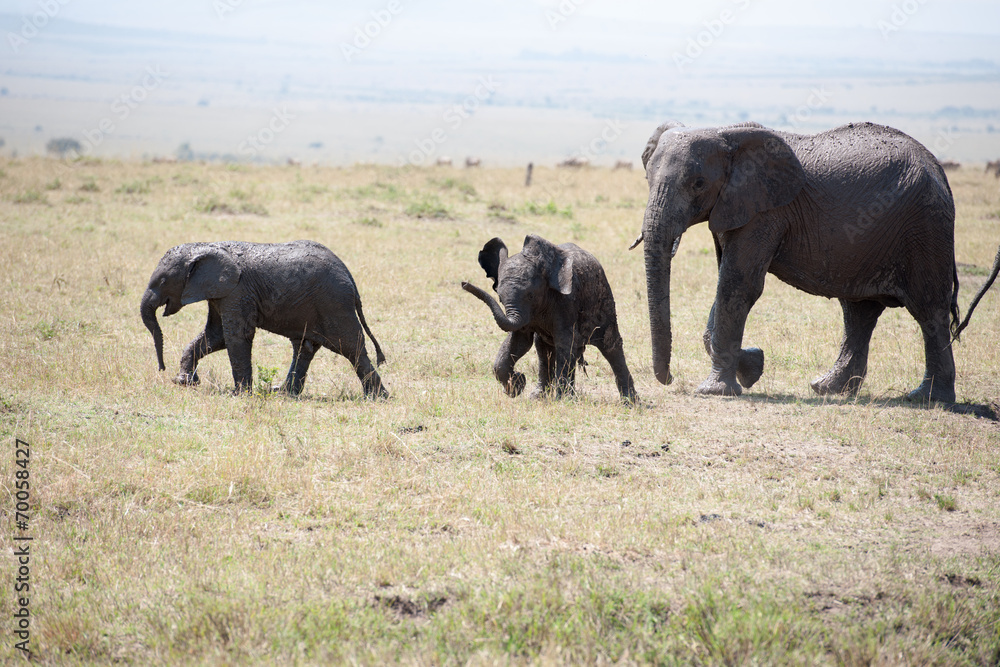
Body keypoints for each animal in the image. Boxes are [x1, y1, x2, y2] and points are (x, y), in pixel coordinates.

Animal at [140, 240, 387, 398]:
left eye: (163, 281)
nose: (162, 368)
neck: (205, 246)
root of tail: (351, 279)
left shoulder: (237, 291)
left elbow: (236, 336)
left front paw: (238, 395)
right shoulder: (221, 294)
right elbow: (216, 337)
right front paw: (184, 382)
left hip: (334, 304)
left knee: (352, 348)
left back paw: (376, 397)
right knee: (304, 347)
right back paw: (283, 394)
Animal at [461, 234, 637, 402]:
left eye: (530, 295)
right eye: (500, 298)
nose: (464, 283)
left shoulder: (566, 302)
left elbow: (564, 342)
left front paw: (561, 401)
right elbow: (520, 342)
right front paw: (516, 387)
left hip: (604, 298)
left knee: (610, 345)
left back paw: (630, 402)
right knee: (545, 349)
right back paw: (541, 396)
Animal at [633, 120, 1000, 404]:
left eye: (698, 184)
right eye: (647, 180)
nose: (668, 379)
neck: (725, 132)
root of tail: (938, 168)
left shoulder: (766, 212)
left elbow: (738, 286)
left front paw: (716, 390)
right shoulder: (735, 209)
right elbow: (729, 281)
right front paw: (753, 367)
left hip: (925, 229)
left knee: (929, 311)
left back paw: (928, 399)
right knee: (859, 312)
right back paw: (827, 388)